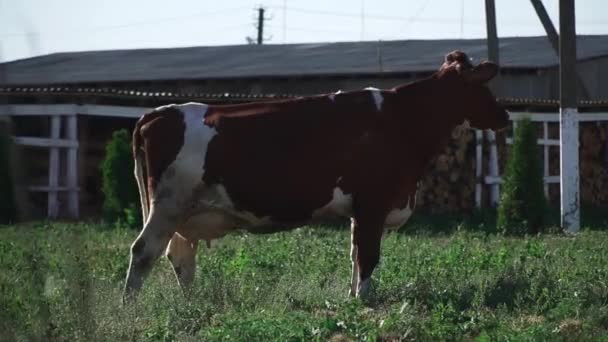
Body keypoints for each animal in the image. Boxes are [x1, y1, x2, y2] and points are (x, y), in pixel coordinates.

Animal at [122, 50, 508, 302]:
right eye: (483, 87)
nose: (505, 115)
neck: (403, 118)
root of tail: (159, 112)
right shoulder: (374, 203)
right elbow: (368, 256)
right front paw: (365, 302)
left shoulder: (360, 210)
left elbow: (355, 254)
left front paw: (353, 297)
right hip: (168, 205)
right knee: (143, 251)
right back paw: (130, 306)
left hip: (182, 211)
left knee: (179, 256)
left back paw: (191, 304)